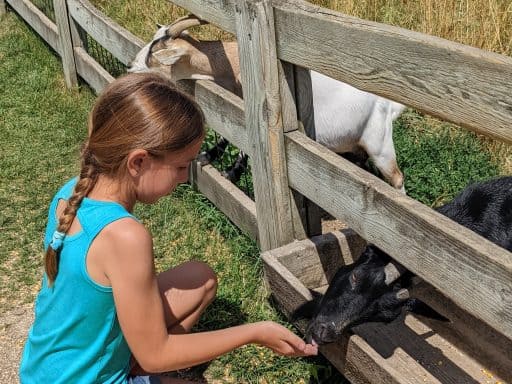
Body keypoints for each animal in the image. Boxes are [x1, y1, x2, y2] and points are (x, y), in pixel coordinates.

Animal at [130, 15, 406, 192]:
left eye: (155, 52)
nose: (131, 66)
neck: (236, 63)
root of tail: (386, 105)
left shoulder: (261, 113)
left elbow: (246, 144)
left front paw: (230, 172)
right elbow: (227, 134)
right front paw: (208, 156)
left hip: (380, 145)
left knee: (397, 180)